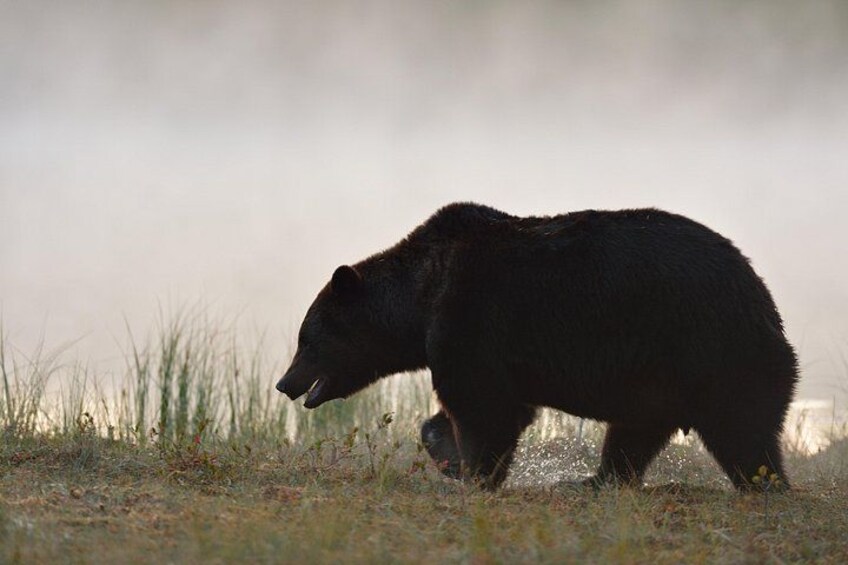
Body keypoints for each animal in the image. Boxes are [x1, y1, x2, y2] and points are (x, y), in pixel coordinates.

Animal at [276, 203, 798, 491]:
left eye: (306, 338)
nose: (284, 383)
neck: (421, 297)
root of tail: (764, 298)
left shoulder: (469, 316)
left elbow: (486, 406)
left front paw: (475, 472)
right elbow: (476, 404)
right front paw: (447, 452)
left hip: (712, 349)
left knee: (744, 430)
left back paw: (766, 483)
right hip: (660, 376)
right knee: (635, 434)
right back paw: (592, 480)